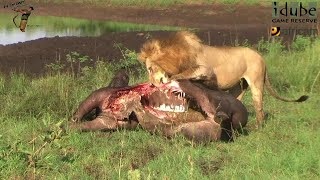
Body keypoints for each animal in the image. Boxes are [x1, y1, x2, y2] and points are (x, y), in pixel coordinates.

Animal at [138, 31, 308, 126]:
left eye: (150, 69)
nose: (151, 84)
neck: (179, 55)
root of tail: (260, 56)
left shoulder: (205, 69)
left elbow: (185, 74)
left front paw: (173, 79)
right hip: (238, 87)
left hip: (256, 83)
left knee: (260, 109)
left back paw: (259, 127)